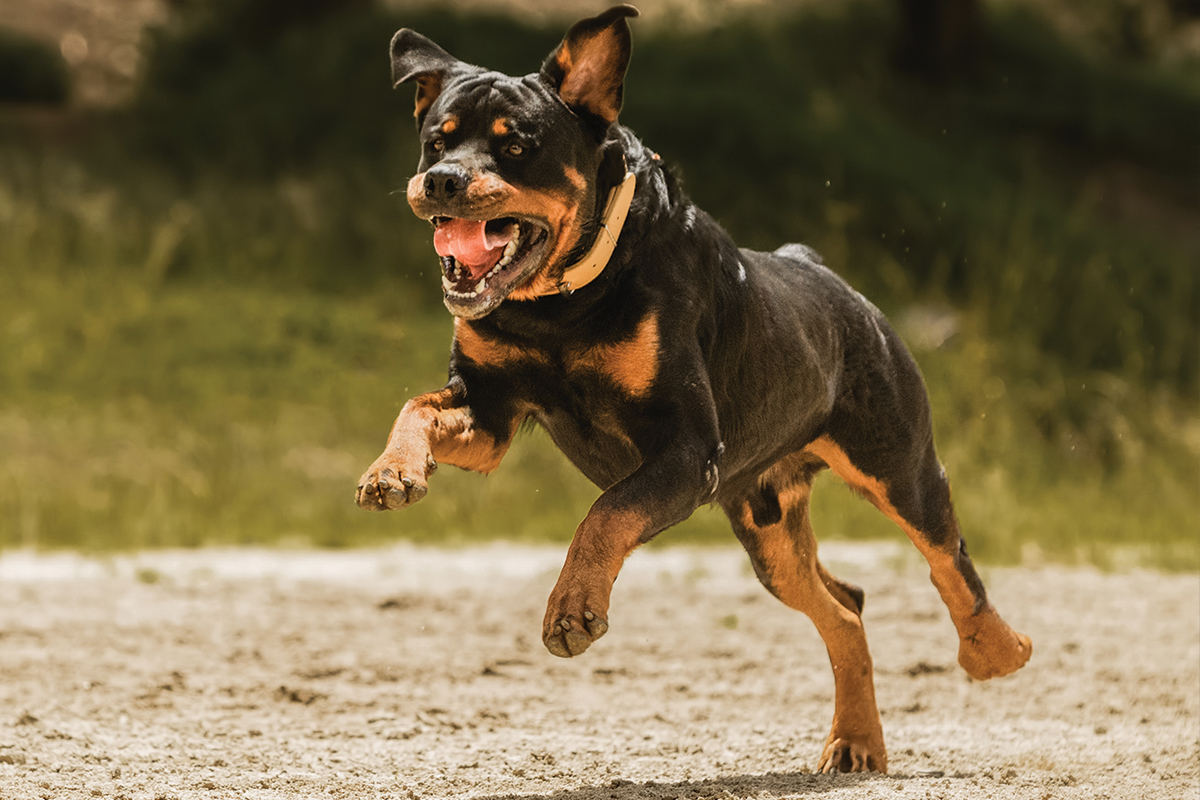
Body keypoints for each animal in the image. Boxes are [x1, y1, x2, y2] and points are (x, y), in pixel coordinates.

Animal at [355, 3, 1032, 772]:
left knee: (950, 560)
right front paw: (392, 473)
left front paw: (573, 608)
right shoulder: (489, 410)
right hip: (768, 529)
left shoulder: (685, 448)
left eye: (517, 145)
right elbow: (417, 408)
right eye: (434, 142)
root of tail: (830, 276)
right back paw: (856, 741)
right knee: (845, 607)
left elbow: (607, 512)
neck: (562, 305)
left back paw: (996, 651)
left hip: (897, 464)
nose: (442, 180)